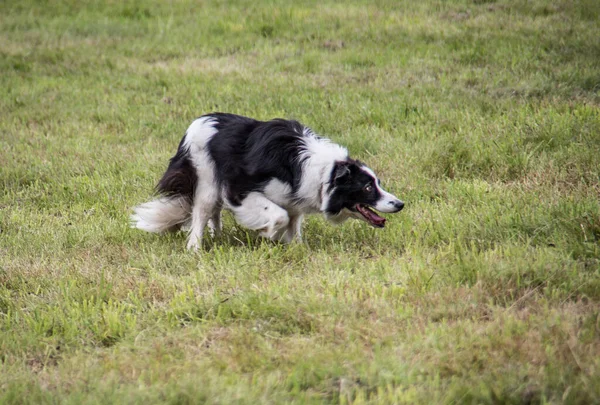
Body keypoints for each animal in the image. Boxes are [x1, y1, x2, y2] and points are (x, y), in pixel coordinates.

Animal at [131, 111, 404, 249]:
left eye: (378, 184)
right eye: (367, 187)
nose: (400, 204)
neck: (325, 173)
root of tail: (198, 121)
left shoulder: (294, 201)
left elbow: (294, 223)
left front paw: (295, 248)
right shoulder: (241, 189)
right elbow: (279, 216)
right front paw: (268, 234)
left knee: (213, 212)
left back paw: (216, 236)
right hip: (206, 176)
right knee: (202, 211)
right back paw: (195, 248)